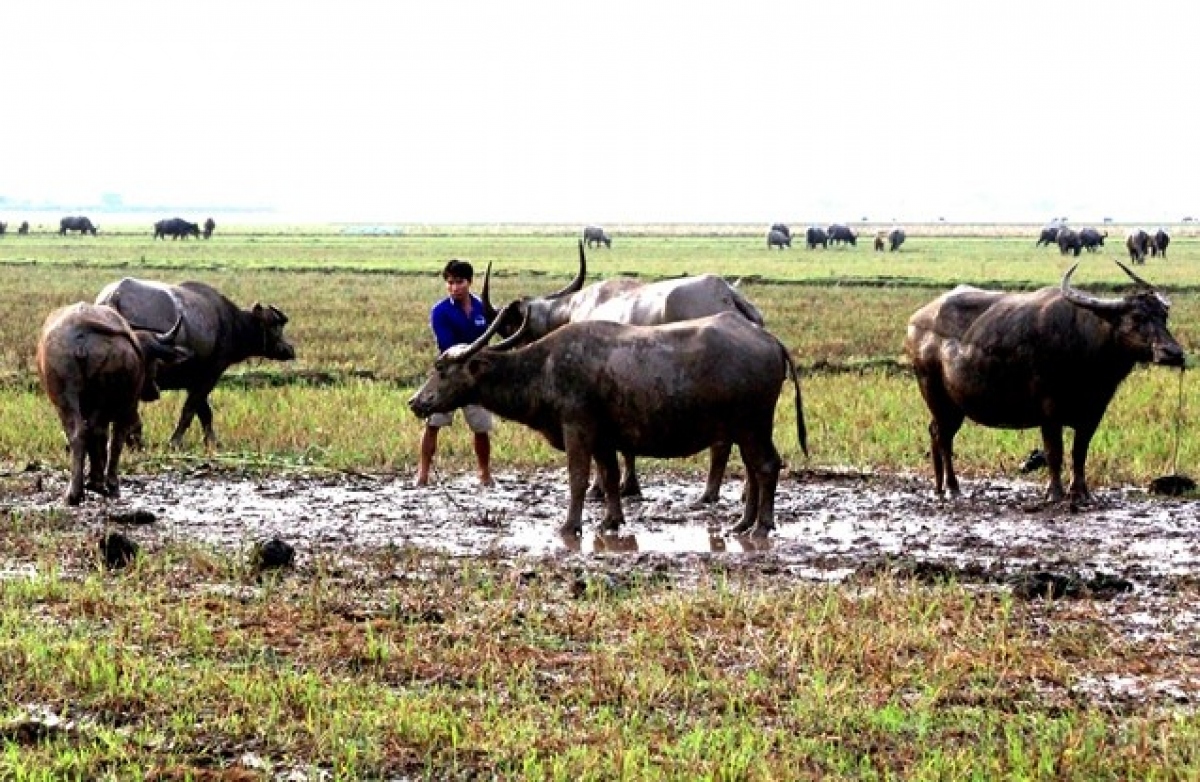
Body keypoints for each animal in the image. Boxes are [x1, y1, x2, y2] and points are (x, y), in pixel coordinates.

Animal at [36, 302, 189, 505]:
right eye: (154, 361)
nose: (155, 390)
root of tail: (82, 328)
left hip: (65, 397)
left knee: (81, 433)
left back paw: (76, 492)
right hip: (117, 402)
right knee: (109, 436)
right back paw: (103, 485)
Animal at [94, 278, 296, 448]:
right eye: (275, 325)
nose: (290, 350)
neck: (231, 323)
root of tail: (114, 298)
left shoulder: (193, 380)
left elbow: (204, 411)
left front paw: (212, 442)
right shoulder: (210, 375)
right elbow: (191, 410)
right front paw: (176, 441)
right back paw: (135, 441)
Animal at [408, 308, 807, 537]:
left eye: (441, 369)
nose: (415, 402)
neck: (545, 367)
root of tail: (768, 339)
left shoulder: (577, 430)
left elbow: (579, 479)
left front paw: (570, 525)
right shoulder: (603, 439)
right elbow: (611, 477)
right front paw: (611, 520)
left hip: (752, 425)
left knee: (766, 466)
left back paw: (761, 527)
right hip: (746, 429)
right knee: (754, 470)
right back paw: (742, 524)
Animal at [481, 241, 766, 503]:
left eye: (508, 327)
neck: (572, 310)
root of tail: (728, 295)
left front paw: (601, 489)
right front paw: (630, 487)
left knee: (724, 442)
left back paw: (710, 493)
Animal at [904, 261, 1184, 503]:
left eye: (1163, 316)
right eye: (1136, 318)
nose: (1173, 352)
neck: (1086, 347)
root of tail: (915, 321)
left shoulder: (1094, 412)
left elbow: (1079, 452)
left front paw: (1081, 492)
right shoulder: (1050, 412)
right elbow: (1054, 452)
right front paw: (1055, 493)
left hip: (953, 406)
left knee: (936, 432)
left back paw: (939, 488)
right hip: (935, 394)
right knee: (943, 437)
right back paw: (953, 488)